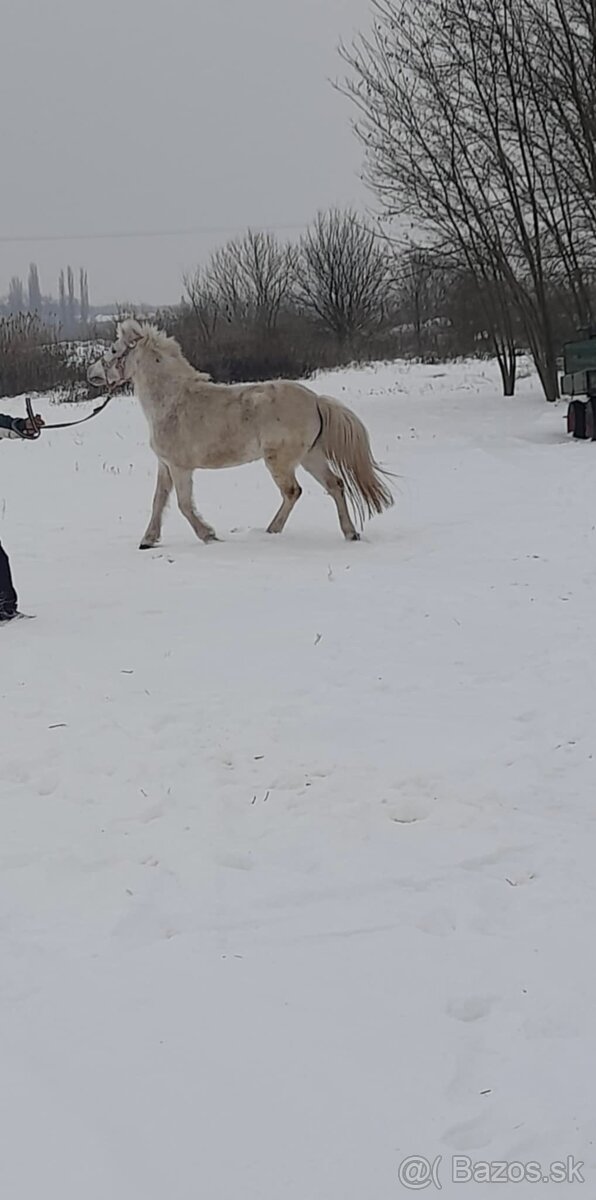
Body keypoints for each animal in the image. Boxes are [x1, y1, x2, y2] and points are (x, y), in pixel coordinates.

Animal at [87, 319, 394, 548]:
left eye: (113, 350)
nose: (91, 373)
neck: (172, 401)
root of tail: (315, 399)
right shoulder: (165, 465)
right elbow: (158, 501)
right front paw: (148, 540)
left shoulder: (180, 467)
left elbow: (184, 504)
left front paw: (209, 535)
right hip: (310, 456)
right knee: (335, 485)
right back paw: (350, 533)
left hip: (280, 461)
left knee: (293, 491)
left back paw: (271, 531)